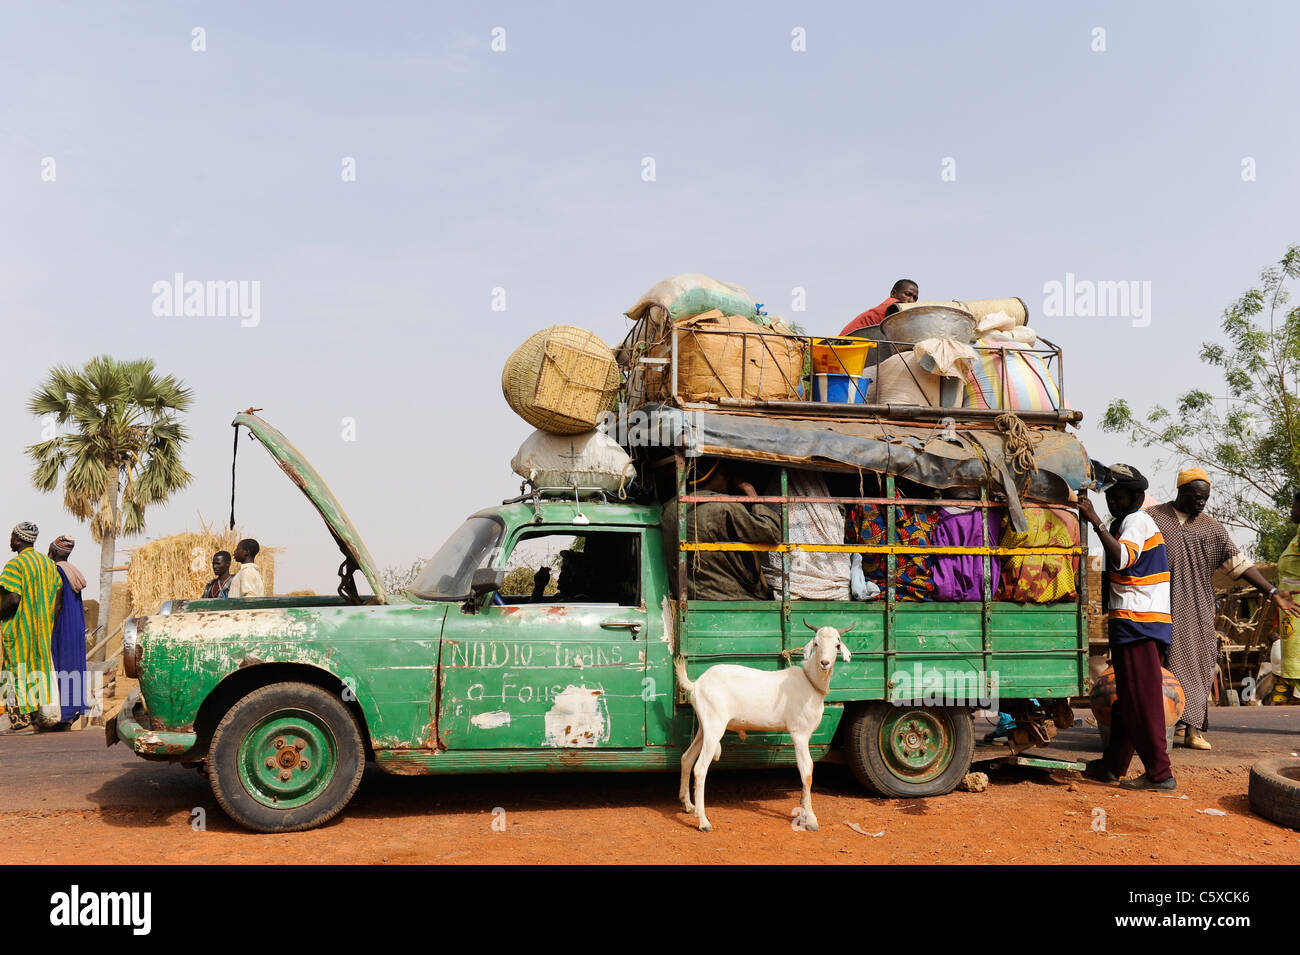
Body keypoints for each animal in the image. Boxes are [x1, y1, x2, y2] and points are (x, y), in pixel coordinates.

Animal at [676, 621, 847, 831]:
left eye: (837, 645)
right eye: (816, 643)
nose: (824, 663)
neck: (809, 683)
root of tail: (696, 685)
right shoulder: (799, 733)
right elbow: (807, 770)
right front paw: (811, 819)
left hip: (704, 726)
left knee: (686, 758)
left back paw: (687, 805)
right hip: (714, 726)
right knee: (700, 768)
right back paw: (704, 822)